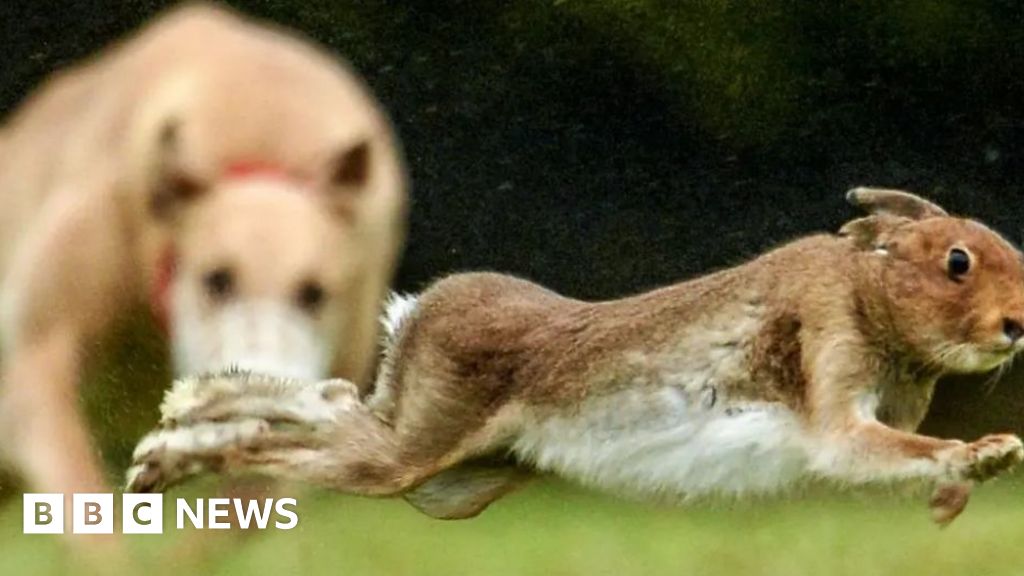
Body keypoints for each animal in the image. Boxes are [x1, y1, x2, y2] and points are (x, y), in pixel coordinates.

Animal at [127, 188, 1024, 525]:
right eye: (957, 261)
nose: (1018, 324)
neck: (870, 292)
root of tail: (419, 313)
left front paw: (961, 489)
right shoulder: (834, 386)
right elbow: (877, 446)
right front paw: (986, 453)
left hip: (451, 479)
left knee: (328, 406)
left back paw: (167, 438)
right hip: (412, 452)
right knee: (299, 439)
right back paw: (160, 465)